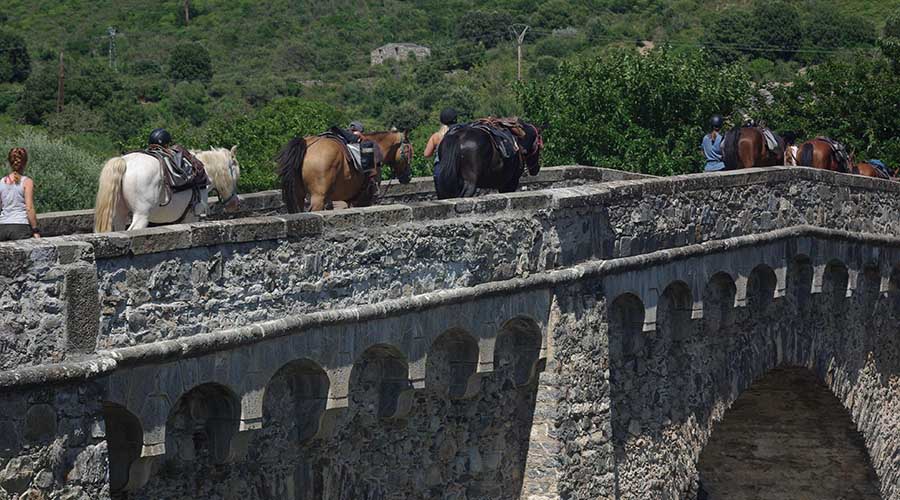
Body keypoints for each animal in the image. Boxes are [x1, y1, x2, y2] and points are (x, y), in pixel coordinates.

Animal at [94, 147, 241, 232]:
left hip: (120, 214)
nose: (235, 204)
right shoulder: (191, 216)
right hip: (141, 215)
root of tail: (125, 162)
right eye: (236, 175)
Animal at [276, 131, 413, 213]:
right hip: (318, 197)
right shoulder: (365, 197)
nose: (408, 177)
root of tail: (307, 145)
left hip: (298, 194)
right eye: (408, 151)